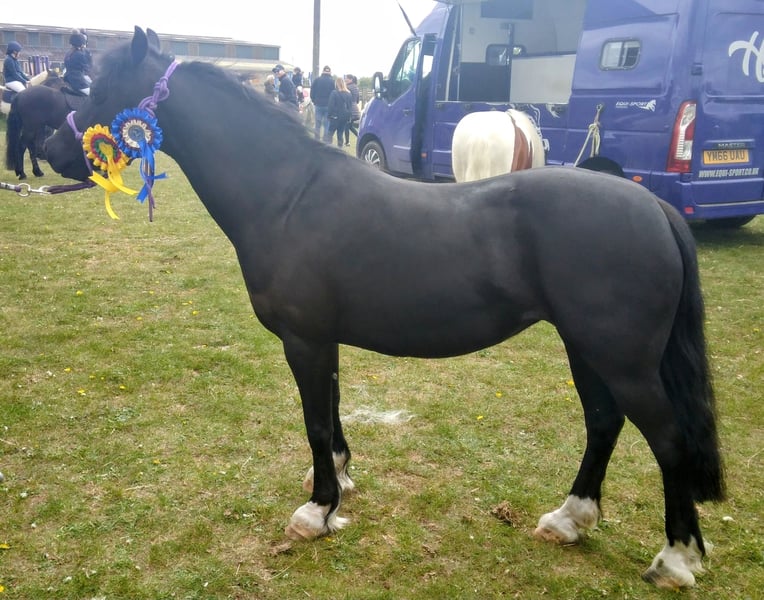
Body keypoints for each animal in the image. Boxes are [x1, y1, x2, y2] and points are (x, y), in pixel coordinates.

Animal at [44, 27, 724, 589]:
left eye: (103, 87)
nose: (52, 147)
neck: (287, 197)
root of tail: (653, 208)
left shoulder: (304, 339)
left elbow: (316, 421)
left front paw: (316, 512)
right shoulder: (325, 339)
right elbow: (333, 409)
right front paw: (340, 482)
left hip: (622, 359)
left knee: (666, 438)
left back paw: (676, 559)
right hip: (587, 349)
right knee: (605, 423)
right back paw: (569, 520)